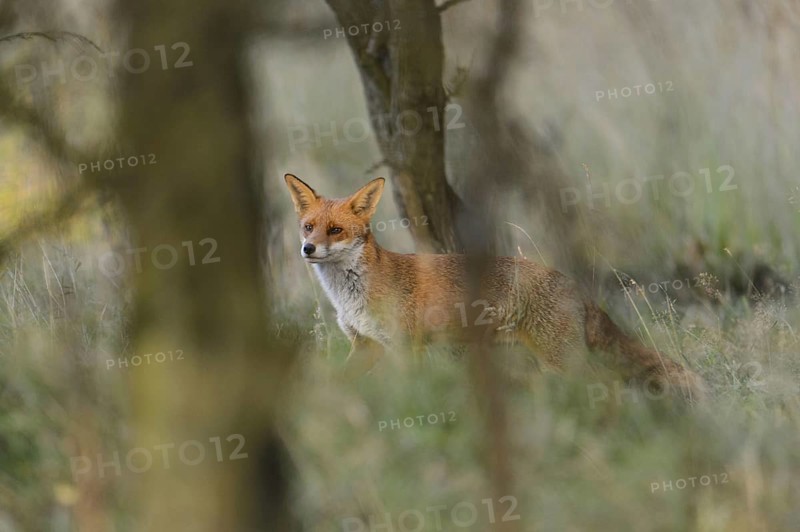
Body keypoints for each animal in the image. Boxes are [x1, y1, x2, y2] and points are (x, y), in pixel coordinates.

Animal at [284, 173, 706, 401]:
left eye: (335, 230)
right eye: (308, 226)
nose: (308, 249)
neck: (351, 296)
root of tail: (571, 282)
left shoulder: (406, 346)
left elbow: (410, 391)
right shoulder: (365, 346)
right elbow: (338, 382)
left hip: (561, 359)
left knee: (607, 382)